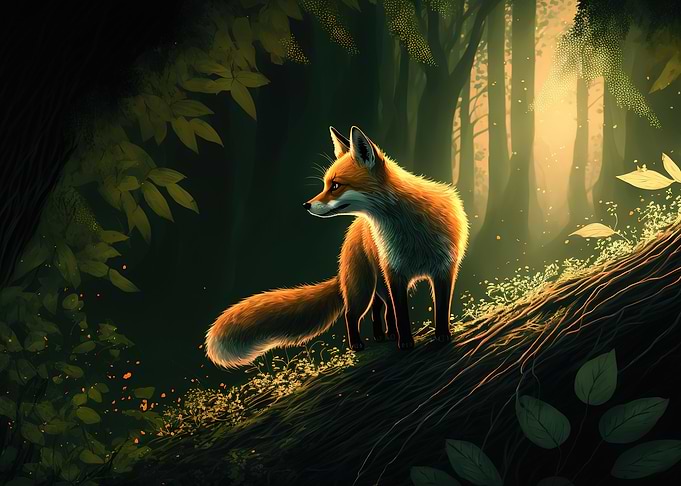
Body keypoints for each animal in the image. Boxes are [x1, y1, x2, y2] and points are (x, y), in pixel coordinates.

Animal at [206, 126, 469, 368]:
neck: (411, 231)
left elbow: (441, 307)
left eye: (335, 185)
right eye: (325, 184)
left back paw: (384, 334)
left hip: (374, 286)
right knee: (352, 314)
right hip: (363, 286)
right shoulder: (395, 272)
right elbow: (401, 313)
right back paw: (359, 344)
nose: (306, 205)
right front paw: (405, 342)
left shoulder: (445, 269)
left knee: (378, 309)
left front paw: (443, 335)